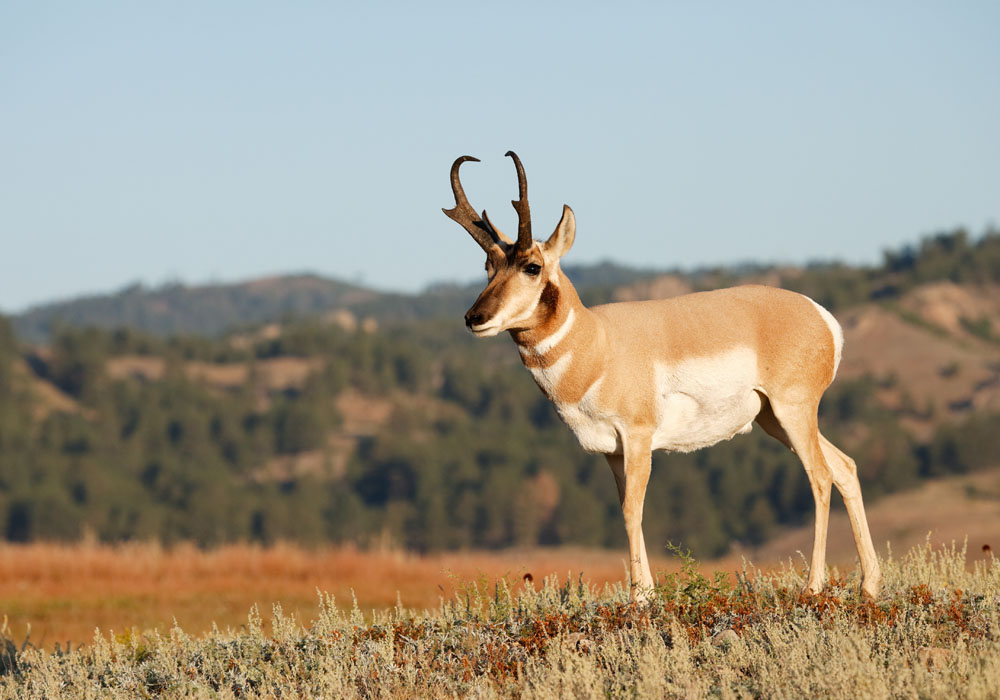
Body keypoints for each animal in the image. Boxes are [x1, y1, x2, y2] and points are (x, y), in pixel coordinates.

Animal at [442, 153, 880, 600]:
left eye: (532, 266)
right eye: (489, 265)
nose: (475, 317)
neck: (597, 341)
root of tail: (820, 314)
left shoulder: (638, 438)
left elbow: (633, 509)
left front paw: (640, 598)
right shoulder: (612, 451)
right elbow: (626, 511)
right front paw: (646, 593)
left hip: (793, 411)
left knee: (821, 477)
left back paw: (814, 587)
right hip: (773, 420)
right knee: (845, 467)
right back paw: (869, 586)